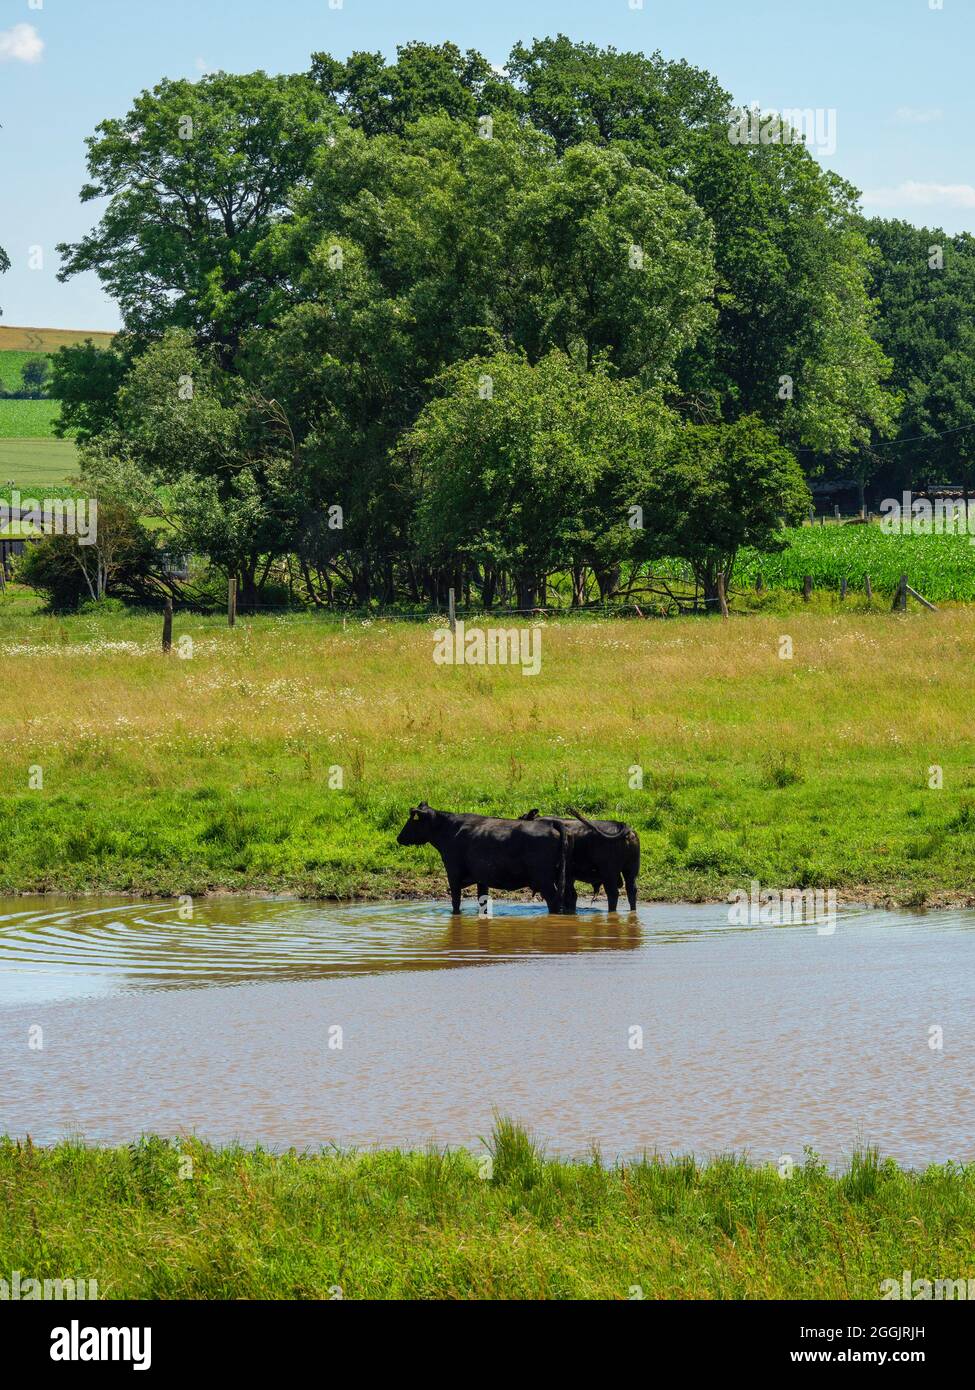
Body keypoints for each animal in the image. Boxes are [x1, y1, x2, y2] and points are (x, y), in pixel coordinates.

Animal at [397, 806, 570, 911]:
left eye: (412, 821)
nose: (399, 838)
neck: (448, 829)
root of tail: (551, 825)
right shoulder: (482, 878)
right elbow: (483, 902)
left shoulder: (453, 874)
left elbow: (455, 902)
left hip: (545, 880)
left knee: (555, 902)